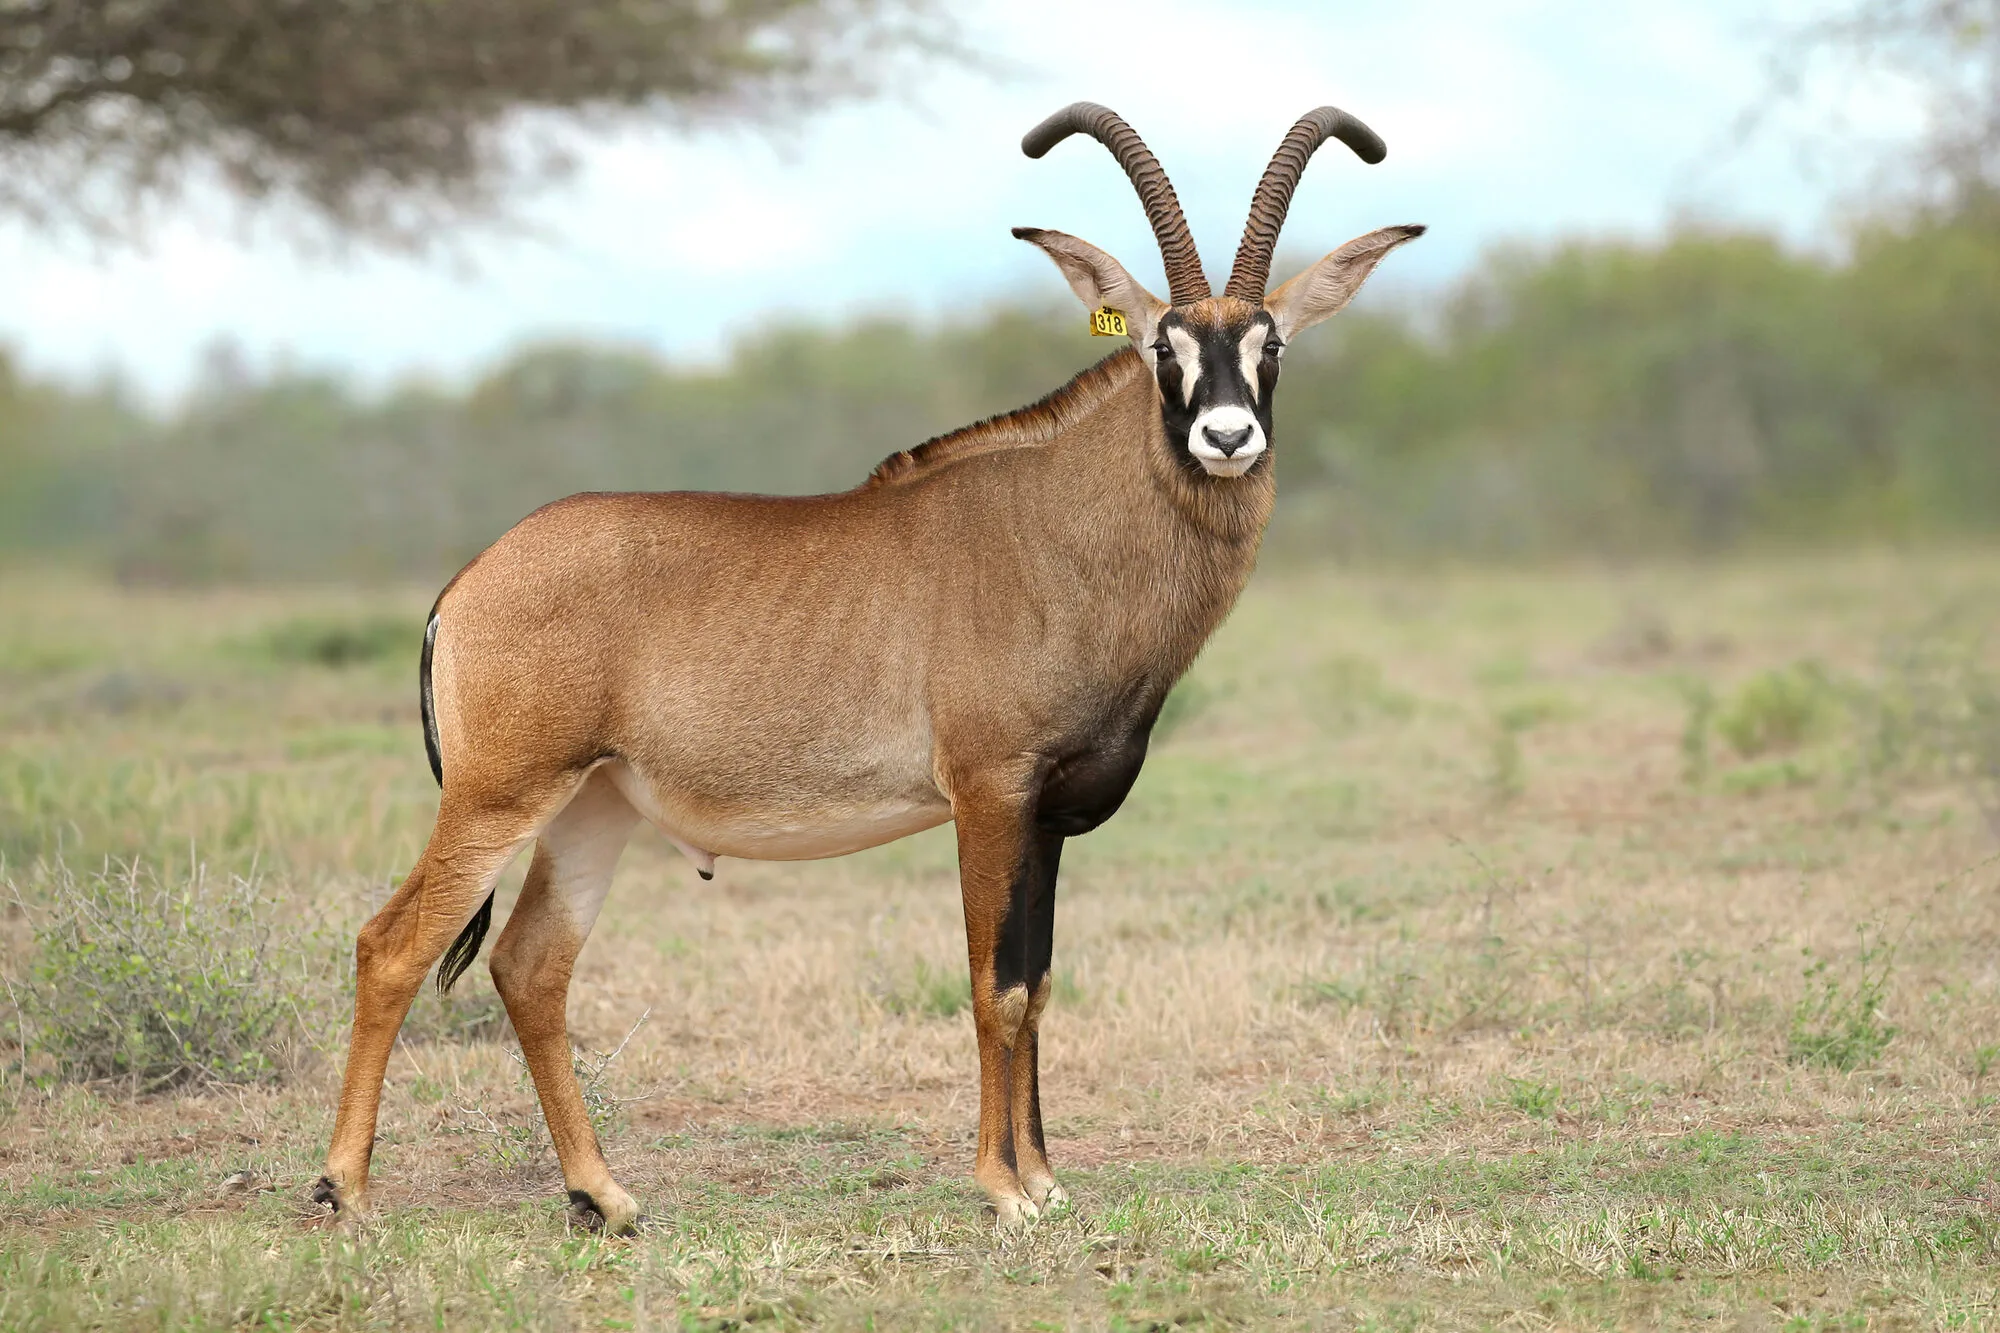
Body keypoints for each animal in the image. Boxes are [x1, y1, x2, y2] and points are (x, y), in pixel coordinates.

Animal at [314, 102, 1423, 1233]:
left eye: (1269, 341)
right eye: (1164, 344)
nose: (1226, 436)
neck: (1061, 527)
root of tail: (469, 581)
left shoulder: (1046, 816)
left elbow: (1038, 982)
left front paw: (1045, 1178)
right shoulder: (988, 794)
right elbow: (994, 988)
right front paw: (1003, 1190)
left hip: (592, 806)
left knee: (532, 965)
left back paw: (603, 1194)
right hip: (500, 793)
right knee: (391, 945)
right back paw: (343, 1186)